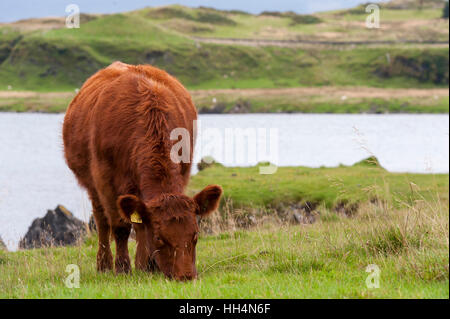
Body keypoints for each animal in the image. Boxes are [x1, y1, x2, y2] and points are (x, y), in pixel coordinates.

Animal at [63, 61, 223, 282]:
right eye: (159, 238)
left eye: (195, 235)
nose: (185, 276)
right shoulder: (106, 183)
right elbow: (120, 227)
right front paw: (123, 268)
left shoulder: (183, 172)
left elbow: (139, 223)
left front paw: (148, 265)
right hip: (92, 186)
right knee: (102, 222)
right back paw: (104, 265)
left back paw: (144, 264)